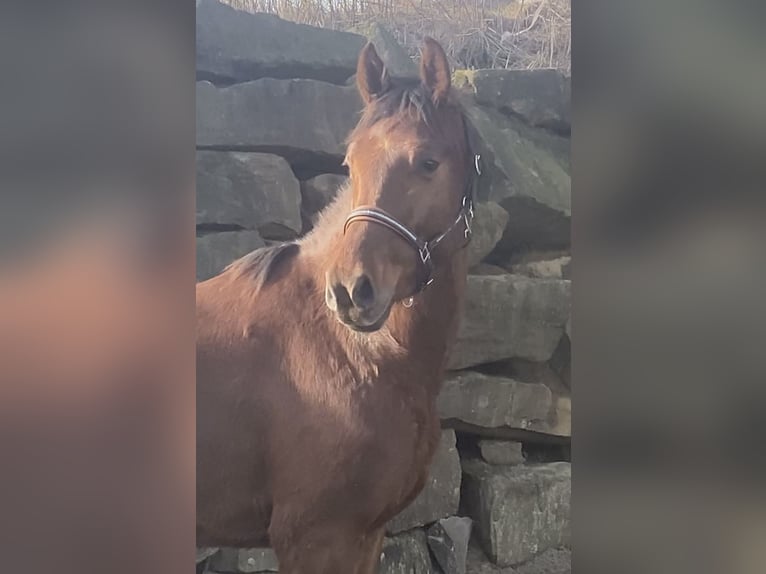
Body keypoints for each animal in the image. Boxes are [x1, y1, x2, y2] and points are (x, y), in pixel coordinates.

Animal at [198, 38, 484, 572]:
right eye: (350, 164)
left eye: (428, 162)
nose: (352, 291)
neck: (351, 352)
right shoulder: (317, 538)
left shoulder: (365, 535)